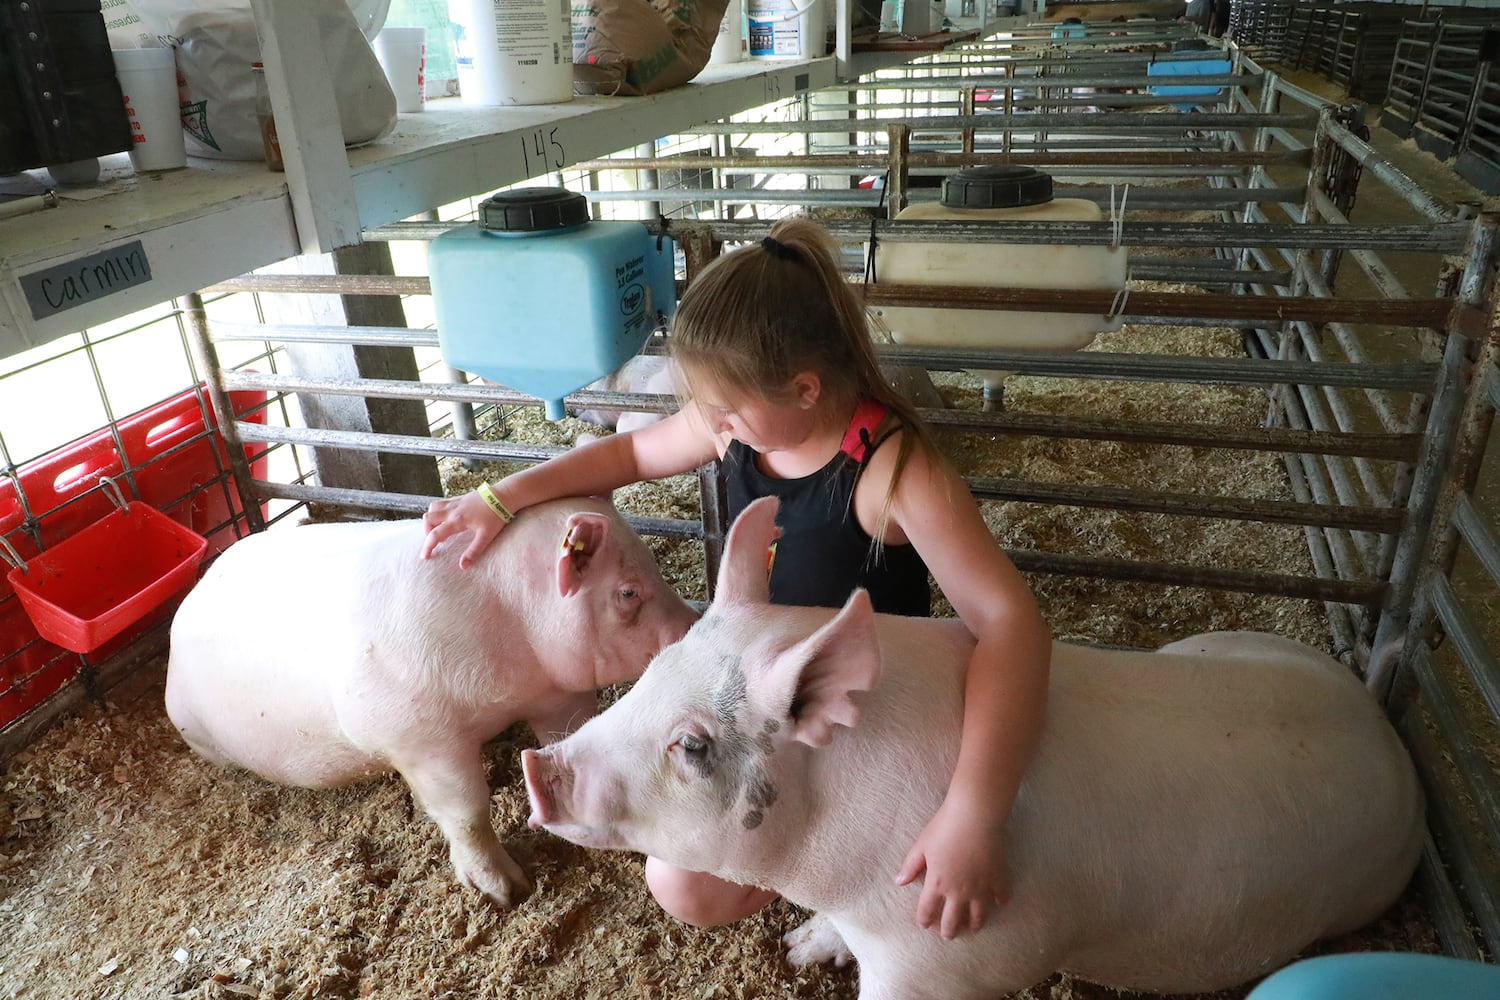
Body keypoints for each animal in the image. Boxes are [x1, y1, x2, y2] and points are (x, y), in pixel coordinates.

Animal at [165, 497, 696, 911]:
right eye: (628, 591)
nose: (693, 626)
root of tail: (188, 602)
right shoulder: (415, 733)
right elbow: (466, 810)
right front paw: (508, 893)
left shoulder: (557, 694)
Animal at [522, 497, 1422, 995]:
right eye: (652, 670)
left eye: (693, 745)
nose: (538, 767)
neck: (842, 871)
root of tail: (1383, 727)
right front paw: (799, 949)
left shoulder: (951, 965)